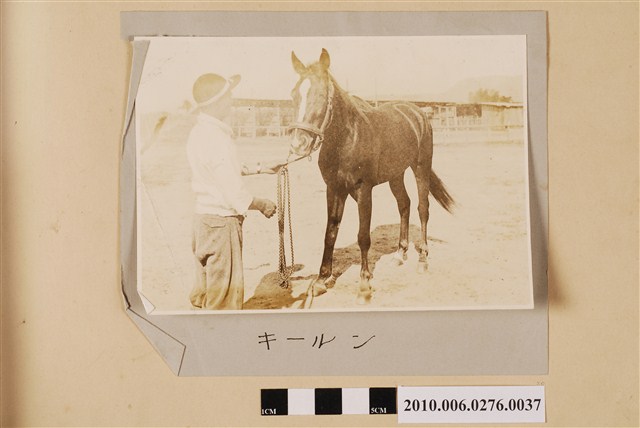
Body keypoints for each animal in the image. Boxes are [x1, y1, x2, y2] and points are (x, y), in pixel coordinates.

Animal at [288, 48, 454, 304]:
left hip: (421, 168)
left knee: (422, 209)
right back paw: (399, 254)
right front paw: (321, 281)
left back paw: (423, 260)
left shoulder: (363, 190)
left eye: (321, 95)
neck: (348, 138)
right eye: (294, 94)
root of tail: (418, 113)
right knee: (404, 204)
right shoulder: (334, 189)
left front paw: (364, 286)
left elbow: (363, 236)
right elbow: (330, 233)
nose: (298, 144)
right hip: (396, 174)